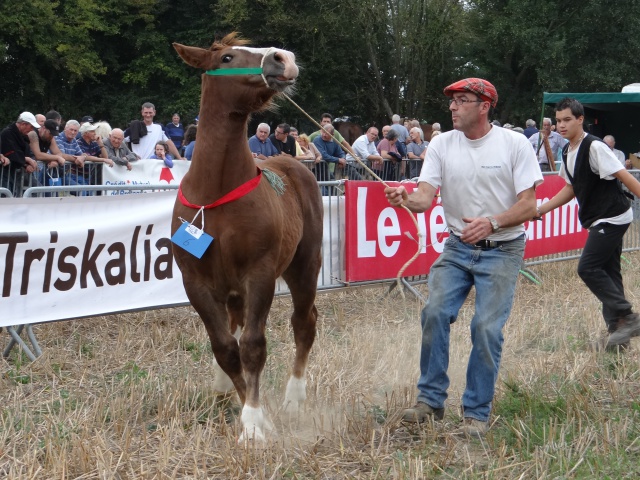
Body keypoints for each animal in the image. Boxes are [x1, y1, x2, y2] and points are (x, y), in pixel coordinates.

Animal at [171, 33, 324, 442]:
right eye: (227, 57)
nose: (282, 58)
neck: (215, 194)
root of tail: (294, 164)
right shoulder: (196, 283)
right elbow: (226, 348)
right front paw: (243, 404)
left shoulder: (260, 274)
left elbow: (253, 346)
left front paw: (254, 422)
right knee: (236, 329)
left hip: (305, 267)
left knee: (304, 324)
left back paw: (294, 397)